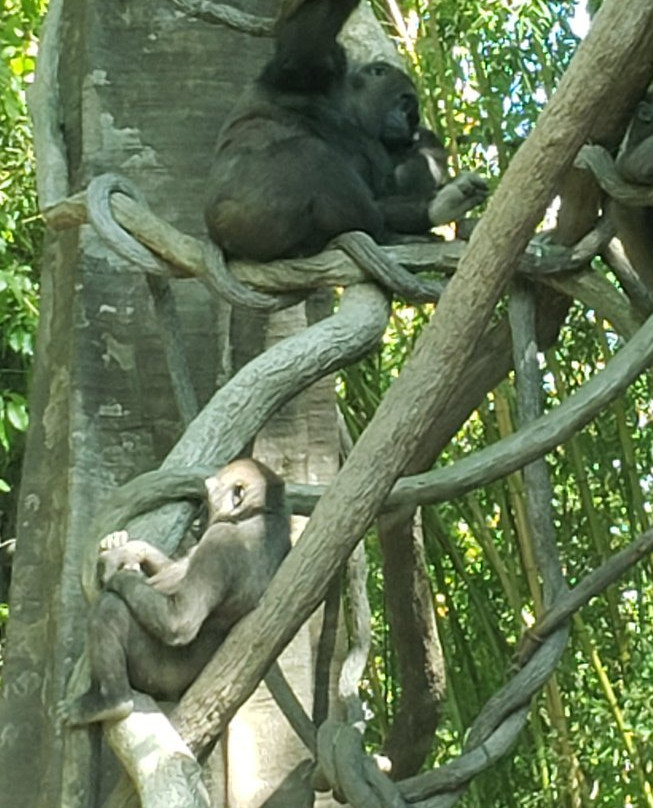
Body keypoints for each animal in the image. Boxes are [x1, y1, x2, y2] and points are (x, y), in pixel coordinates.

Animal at [63, 458, 290, 728]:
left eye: (208, 497)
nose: (198, 518)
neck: (259, 515)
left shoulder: (220, 540)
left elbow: (180, 620)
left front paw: (117, 572)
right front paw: (128, 548)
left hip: (161, 678)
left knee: (111, 607)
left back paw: (112, 701)